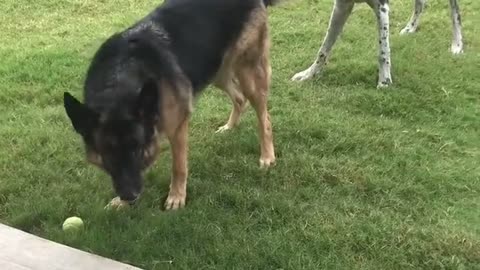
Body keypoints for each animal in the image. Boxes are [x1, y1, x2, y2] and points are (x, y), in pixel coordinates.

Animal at [62, 0, 278, 211]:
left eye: (136, 149)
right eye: (107, 154)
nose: (129, 196)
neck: (119, 82)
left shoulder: (177, 127)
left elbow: (178, 167)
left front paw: (176, 197)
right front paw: (120, 202)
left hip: (248, 73)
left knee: (264, 118)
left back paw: (267, 155)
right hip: (217, 71)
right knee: (239, 98)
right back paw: (230, 127)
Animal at [290, 0, 464, 88]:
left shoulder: (381, 8)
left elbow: (383, 52)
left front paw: (384, 81)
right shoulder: (342, 5)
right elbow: (324, 48)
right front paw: (309, 74)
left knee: (455, 12)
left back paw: (457, 44)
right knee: (421, 3)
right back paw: (411, 27)